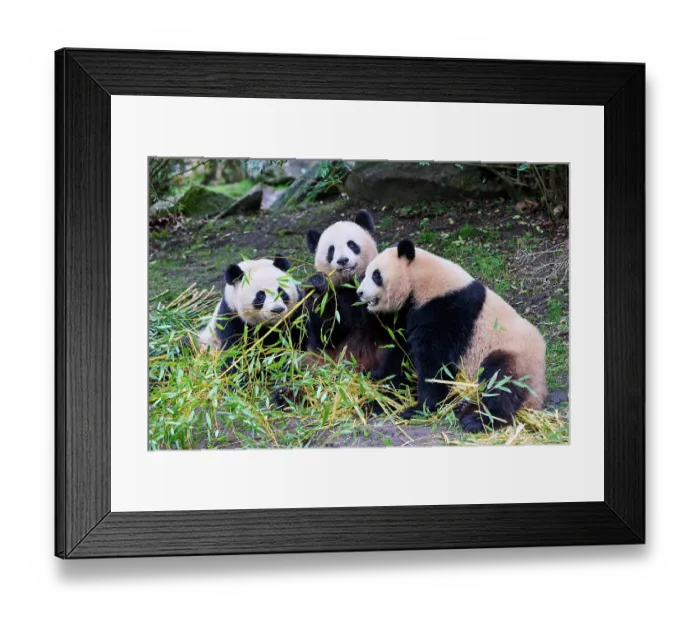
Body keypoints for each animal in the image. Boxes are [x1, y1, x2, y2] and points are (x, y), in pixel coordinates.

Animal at [304, 210, 404, 372]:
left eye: (351, 244)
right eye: (331, 250)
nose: (343, 260)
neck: (349, 283)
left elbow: (385, 325)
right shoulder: (337, 294)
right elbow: (326, 335)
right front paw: (318, 287)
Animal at [357, 239, 547, 432]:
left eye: (376, 275)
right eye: (366, 273)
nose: (359, 293)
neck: (421, 280)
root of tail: (539, 393)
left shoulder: (445, 312)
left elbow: (435, 363)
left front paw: (419, 408)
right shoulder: (411, 314)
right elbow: (402, 355)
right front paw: (375, 381)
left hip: (514, 356)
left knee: (501, 383)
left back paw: (479, 420)